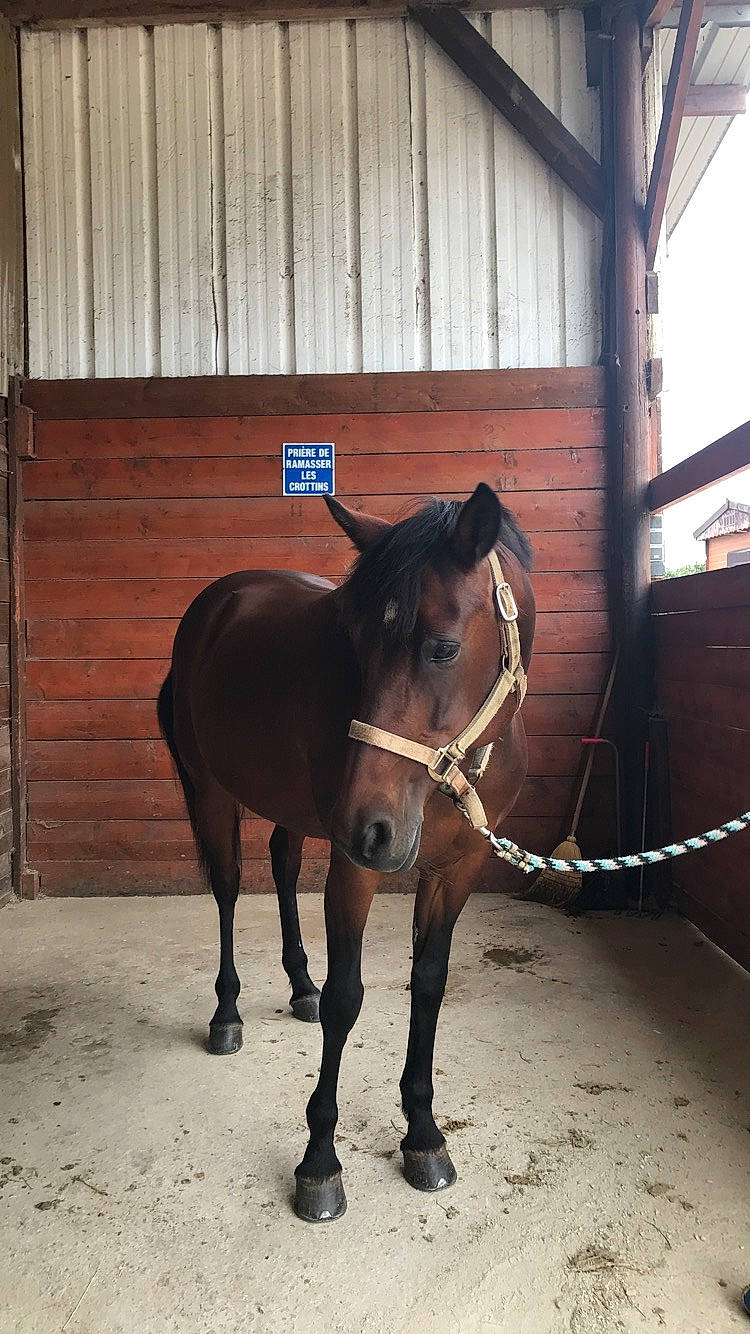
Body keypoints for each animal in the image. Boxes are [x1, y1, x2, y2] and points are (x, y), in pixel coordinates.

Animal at [157, 481, 535, 1222]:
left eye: (442, 648)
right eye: (354, 642)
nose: (368, 826)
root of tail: (216, 604)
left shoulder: (457, 872)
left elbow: (429, 985)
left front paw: (423, 1133)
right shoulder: (353, 868)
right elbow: (347, 998)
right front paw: (319, 1162)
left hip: (296, 810)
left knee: (280, 862)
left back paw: (297, 984)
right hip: (212, 792)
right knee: (227, 889)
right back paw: (227, 1012)